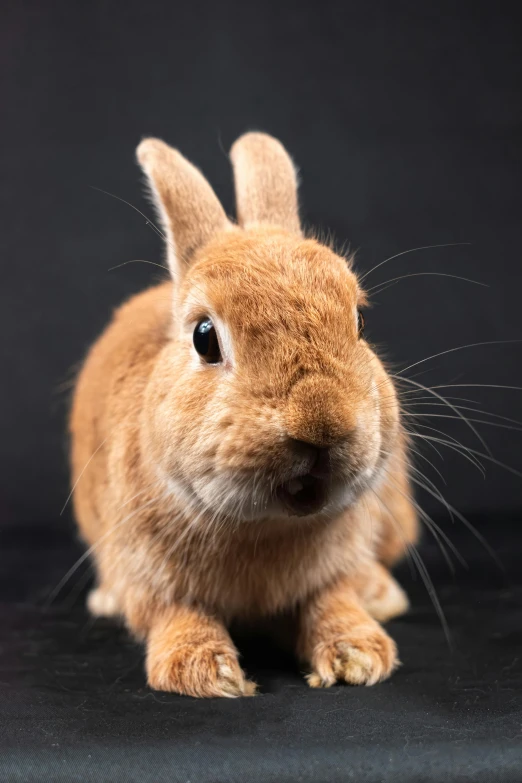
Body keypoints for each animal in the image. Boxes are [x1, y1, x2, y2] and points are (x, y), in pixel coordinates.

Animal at [70, 133, 418, 700]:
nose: (322, 423)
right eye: (204, 337)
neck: (263, 529)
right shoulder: (145, 574)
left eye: (360, 320)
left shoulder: (332, 571)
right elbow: (173, 613)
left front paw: (358, 655)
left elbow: (333, 599)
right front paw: (206, 672)